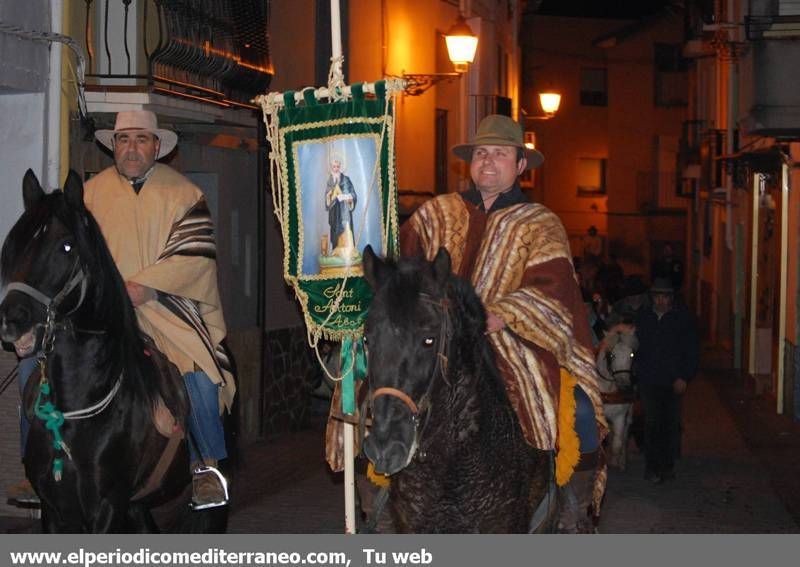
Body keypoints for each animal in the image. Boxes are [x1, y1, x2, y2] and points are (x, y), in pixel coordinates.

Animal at [596, 324, 640, 470]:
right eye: (611, 355)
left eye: (631, 354)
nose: (625, 387)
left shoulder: (620, 416)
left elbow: (617, 444)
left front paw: (616, 461)